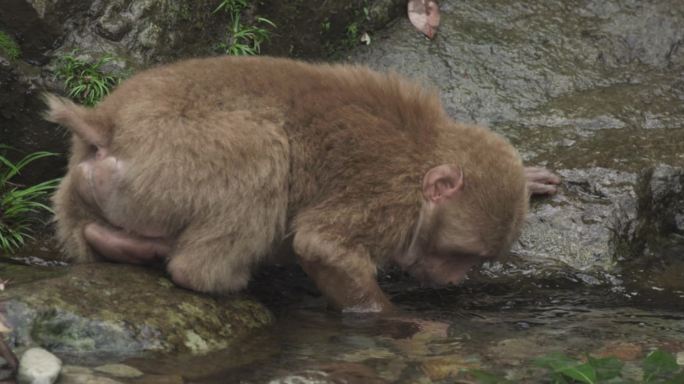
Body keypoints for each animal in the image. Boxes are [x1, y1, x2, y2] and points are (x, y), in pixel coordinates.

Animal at [44, 57, 560, 316]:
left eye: (475, 261)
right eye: (459, 255)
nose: (455, 279)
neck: (424, 152)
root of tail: (108, 123)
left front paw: (529, 177)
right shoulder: (386, 198)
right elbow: (321, 245)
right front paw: (398, 321)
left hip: (82, 187)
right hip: (173, 157)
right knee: (264, 150)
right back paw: (212, 275)